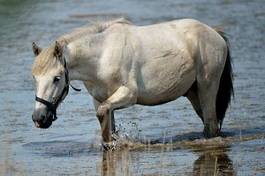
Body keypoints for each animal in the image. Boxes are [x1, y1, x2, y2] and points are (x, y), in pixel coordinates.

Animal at [32, 18, 232, 148]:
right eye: (35, 78)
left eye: (57, 78)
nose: (39, 118)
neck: (102, 56)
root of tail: (215, 33)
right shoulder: (101, 100)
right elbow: (107, 124)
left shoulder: (128, 95)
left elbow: (104, 116)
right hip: (193, 93)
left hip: (207, 88)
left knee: (211, 125)